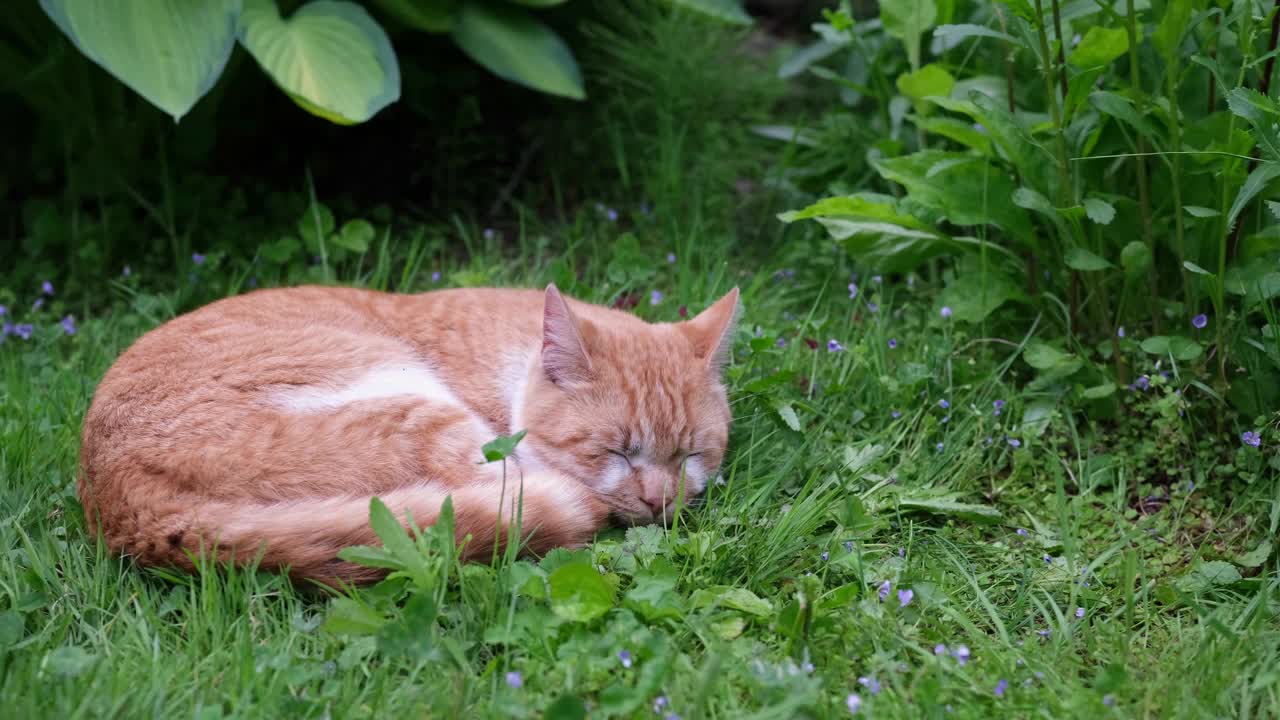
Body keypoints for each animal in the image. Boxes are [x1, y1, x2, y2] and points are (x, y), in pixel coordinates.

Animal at [77, 283, 742, 579]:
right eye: (616, 451)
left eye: (690, 455)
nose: (660, 502)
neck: (510, 355)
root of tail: (123, 503)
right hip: (416, 409)